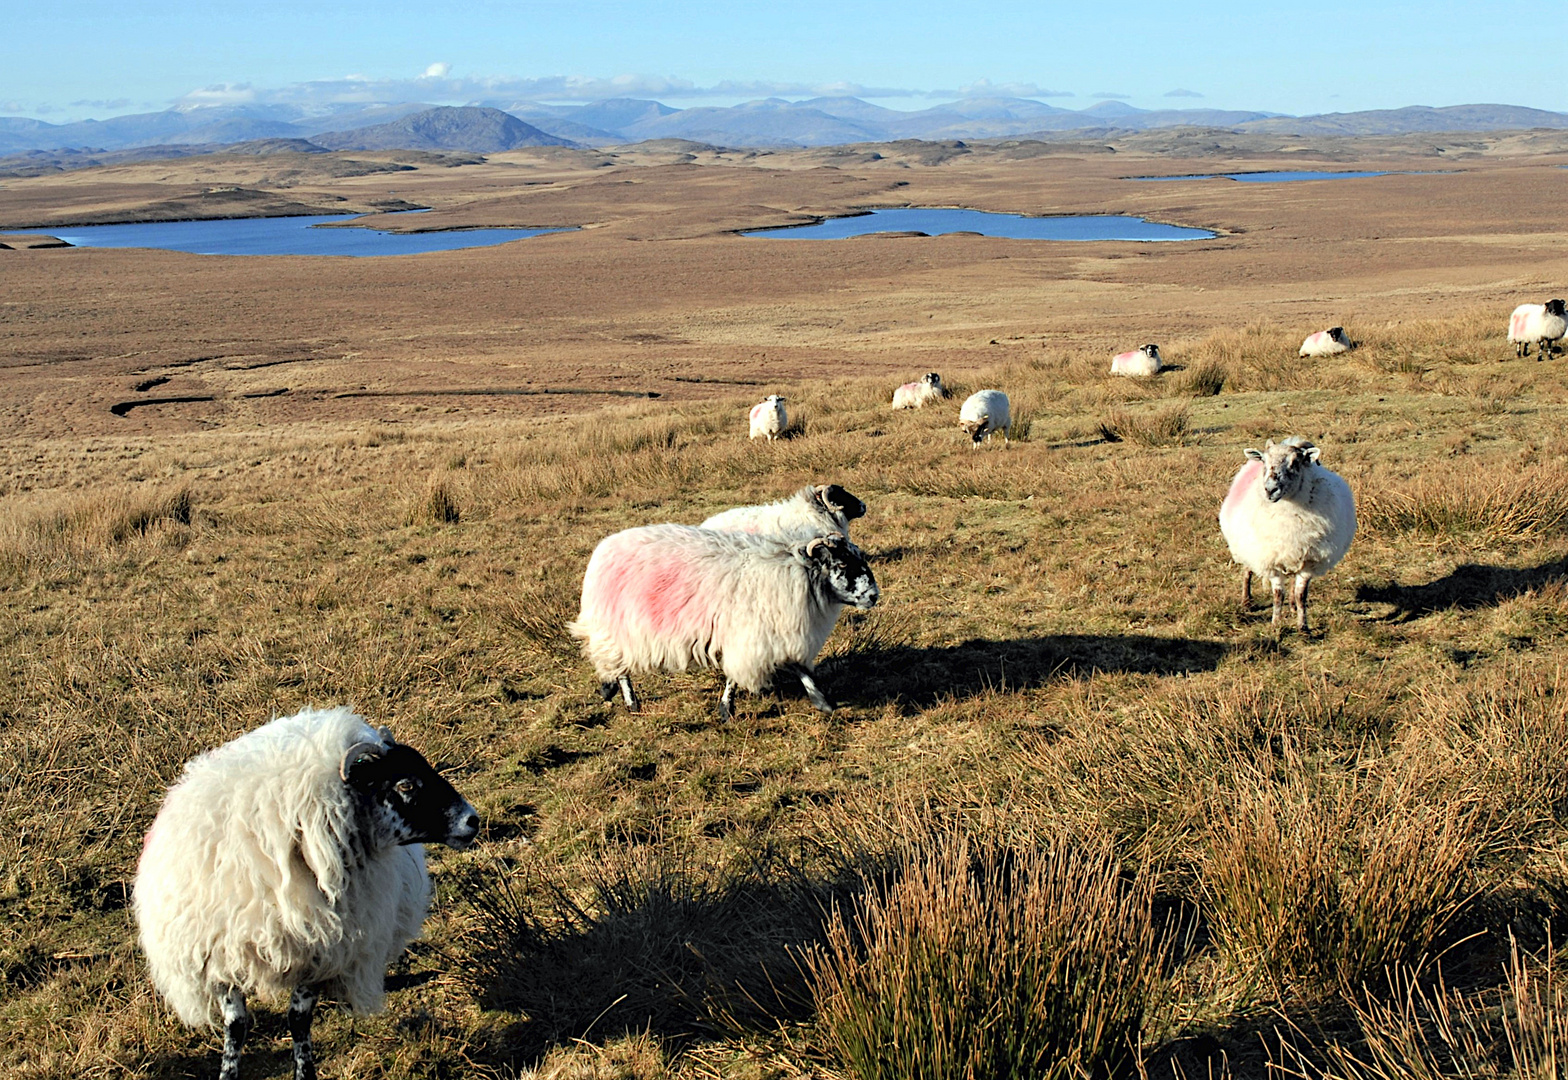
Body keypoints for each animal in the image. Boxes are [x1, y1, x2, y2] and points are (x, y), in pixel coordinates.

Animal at [567, 523, 884, 721]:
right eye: (841, 564)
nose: (873, 596)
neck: (798, 576)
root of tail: (603, 549)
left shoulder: (775, 636)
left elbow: (801, 671)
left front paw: (824, 703)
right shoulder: (748, 637)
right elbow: (734, 677)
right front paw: (725, 711)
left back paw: (609, 689)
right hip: (614, 628)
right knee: (619, 668)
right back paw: (630, 701)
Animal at [1216, 432, 1354, 626]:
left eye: (1295, 462)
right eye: (1264, 460)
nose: (1270, 489)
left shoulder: (1308, 559)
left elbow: (1301, 594)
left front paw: (1303, 625)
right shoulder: (1271, 559)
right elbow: (1277, 595)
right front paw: (1275, 624)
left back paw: (1293, 606)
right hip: (1247, 546)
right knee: (1247, 571)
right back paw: (1246, 601)